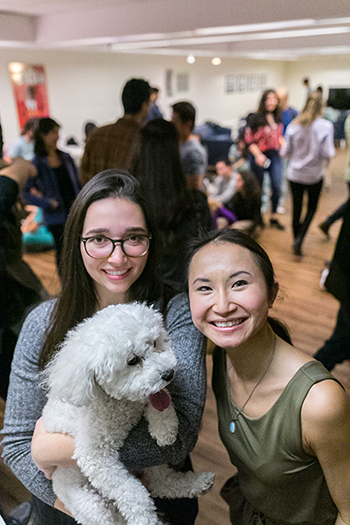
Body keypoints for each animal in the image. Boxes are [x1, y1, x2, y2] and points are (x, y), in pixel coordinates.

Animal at [42, 300, 215, 524]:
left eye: (154, 343)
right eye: (132, 361)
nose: (168, 373)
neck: (120, 403)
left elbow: (161, 402)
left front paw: (164, 429)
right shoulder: (96, 459)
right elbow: (133, 493)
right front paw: (145, 518)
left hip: (151, 462)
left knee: (161, 481)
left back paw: (198, 483)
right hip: (89, 504)